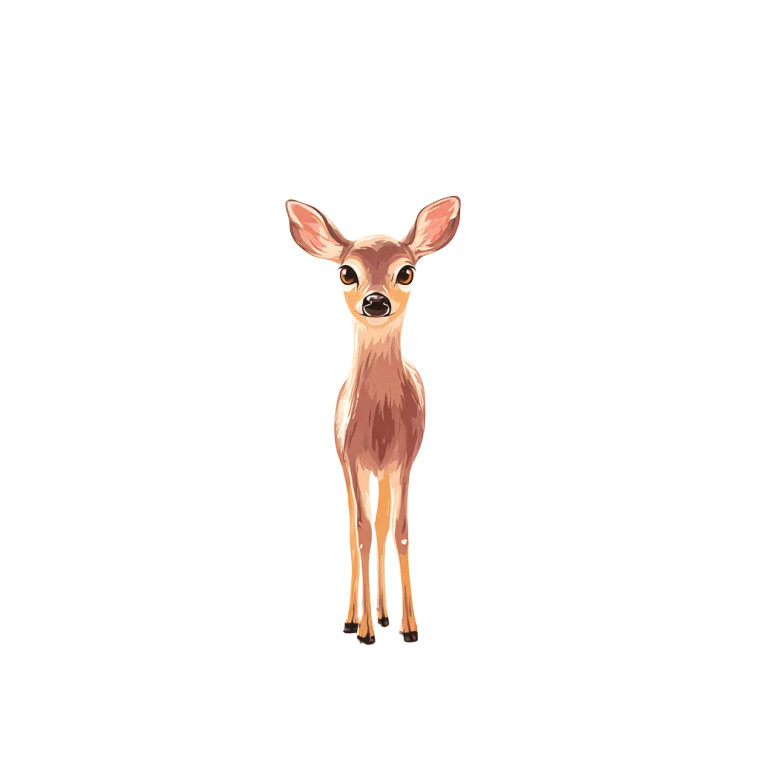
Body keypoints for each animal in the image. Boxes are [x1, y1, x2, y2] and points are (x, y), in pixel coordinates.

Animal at [285, 197, 461, 644]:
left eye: (406, 271)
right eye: (347, 272)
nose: (376, 302)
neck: (380, 420)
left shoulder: (405, 459)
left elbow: (399, 532)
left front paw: (409, 627)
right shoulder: (351, 459)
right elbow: (361, 534)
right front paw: (363, 631)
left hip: (384, 471)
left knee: (381, 527)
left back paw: (382, 614)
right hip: (350, 465)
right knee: (354, 532)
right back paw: (355, 619)